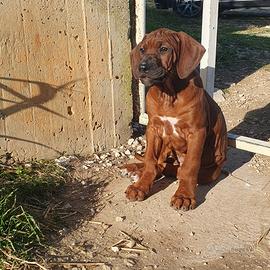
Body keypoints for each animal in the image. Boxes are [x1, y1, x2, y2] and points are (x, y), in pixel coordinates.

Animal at [125, 29, 227, 211]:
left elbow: (189, 168)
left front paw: (184, 196)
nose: (141, 67)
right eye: (142, 50)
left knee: (175, 169)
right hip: (166, 144)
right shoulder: (153, 129)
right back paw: (136, 169)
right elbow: (150, 161)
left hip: (210, 171)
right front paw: (141, 186)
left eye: (164, 49)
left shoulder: (196, 132)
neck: (168, 93)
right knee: (160, 163)